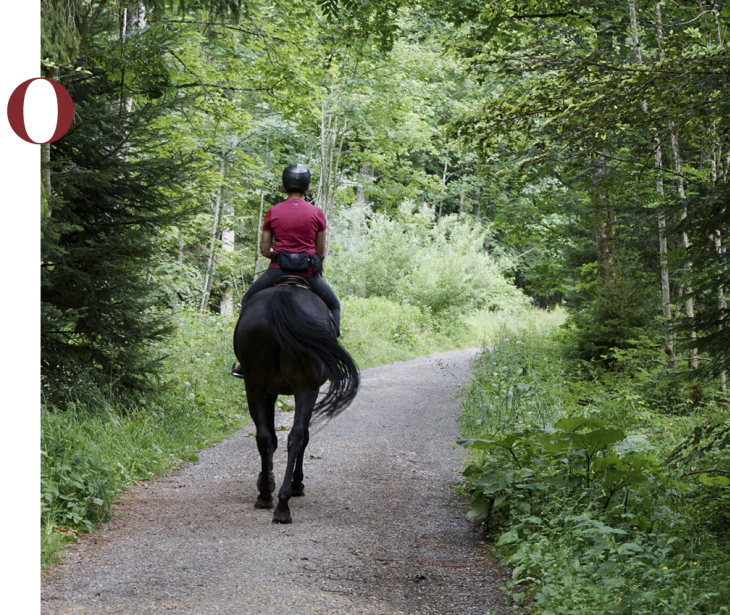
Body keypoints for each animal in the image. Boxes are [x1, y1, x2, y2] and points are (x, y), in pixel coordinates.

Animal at [232, 278, 359, 523]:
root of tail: (282, 299)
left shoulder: (269, 391)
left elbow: (271, 437)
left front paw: (267, 479)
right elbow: (303, 435)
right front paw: (296, 482)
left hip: (254, 384)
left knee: (264, 436)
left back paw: (266, 495)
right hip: (305, 388)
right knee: (297, 436)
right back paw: (284, 500)